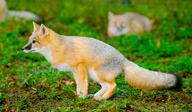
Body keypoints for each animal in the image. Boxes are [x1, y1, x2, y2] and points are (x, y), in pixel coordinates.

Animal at [22, 22, 178, 100]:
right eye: (29, 41)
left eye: (34, 42)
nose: (23, 48)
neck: (59, 47)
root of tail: (123, 58)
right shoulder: (75, 72)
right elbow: (79, 85)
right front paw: (79, 96)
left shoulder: (80, 67)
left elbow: (83, 85)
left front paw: (82, 97)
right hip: (94, 75)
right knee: (106, 86)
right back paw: (97, 96)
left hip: (97, 74)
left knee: (113, 86)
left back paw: (103, 99)